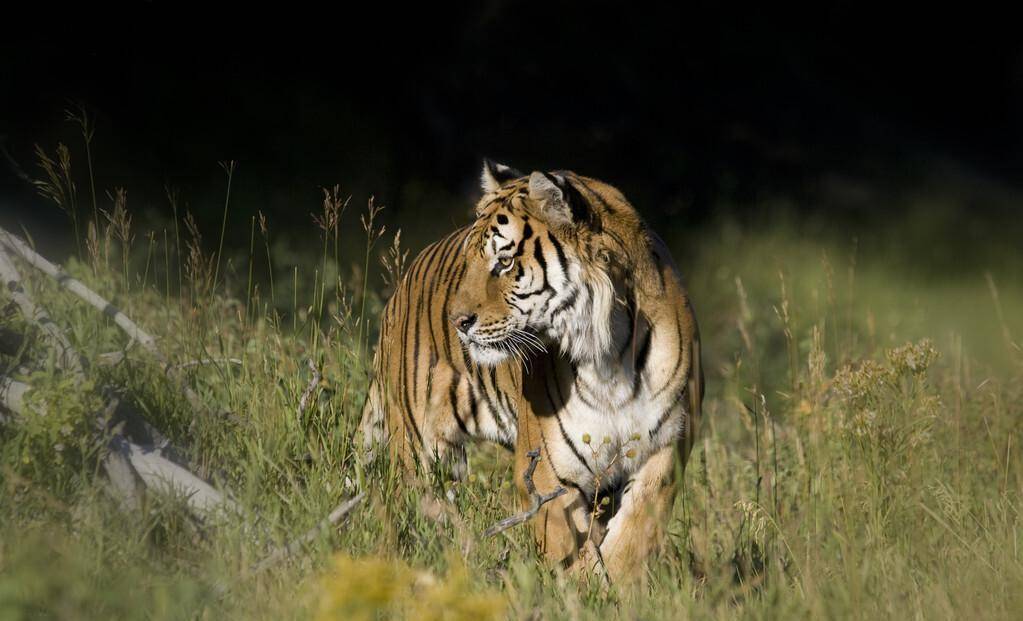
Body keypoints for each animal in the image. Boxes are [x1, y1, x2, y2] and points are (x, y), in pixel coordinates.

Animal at [452, 162, 707, 585]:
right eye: (471, 261)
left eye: (504, 263)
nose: (457, 321)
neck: (609, 355)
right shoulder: (547, 467)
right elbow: (564, 540)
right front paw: (578, 585)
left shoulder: (666, 446)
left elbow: (636, 529)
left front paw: (614, 584)